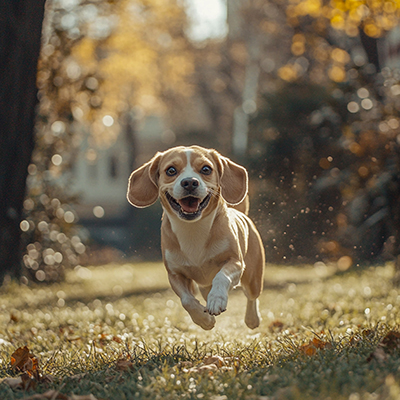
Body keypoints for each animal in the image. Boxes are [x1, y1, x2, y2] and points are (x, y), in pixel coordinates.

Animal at [126, 145, 264, 330]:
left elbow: (222, 277)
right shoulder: (175, 274)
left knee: (251, 296)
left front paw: (217, 299)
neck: (193, 228)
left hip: (253, 278)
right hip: (204, 285)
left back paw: (252, 318)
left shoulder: (235, 262)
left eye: (206, 169)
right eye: (171, 170)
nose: (190, 182)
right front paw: (204, 319)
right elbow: (187, 300)